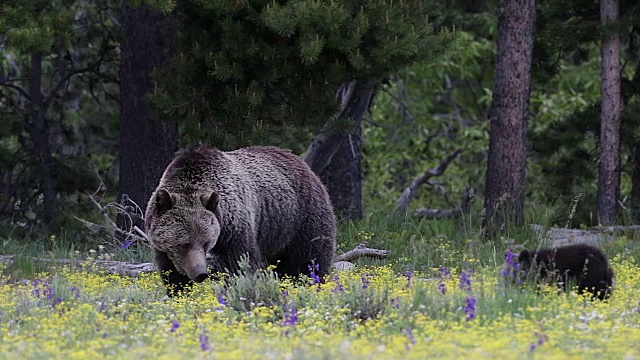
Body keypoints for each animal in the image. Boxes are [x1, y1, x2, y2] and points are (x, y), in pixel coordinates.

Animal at [143, 145, 338, 294]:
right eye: (184, 244)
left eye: (205, 243)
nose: (200, 273)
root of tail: (302, 163)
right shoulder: (162, 246)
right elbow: (171, 273)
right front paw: (179, 293)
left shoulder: (235, 227)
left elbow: (241, 262)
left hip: (301, 216)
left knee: (310, 259)